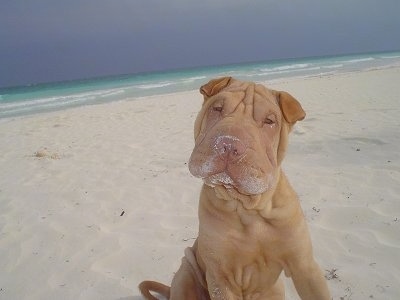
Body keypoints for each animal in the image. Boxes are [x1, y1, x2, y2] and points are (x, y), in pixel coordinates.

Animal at [139, 78, 330, 300]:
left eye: (269, 121)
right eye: (217, 108)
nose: (229, 145)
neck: (248, 208)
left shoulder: (305, 267)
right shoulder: (221, 278)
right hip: (185, 271)